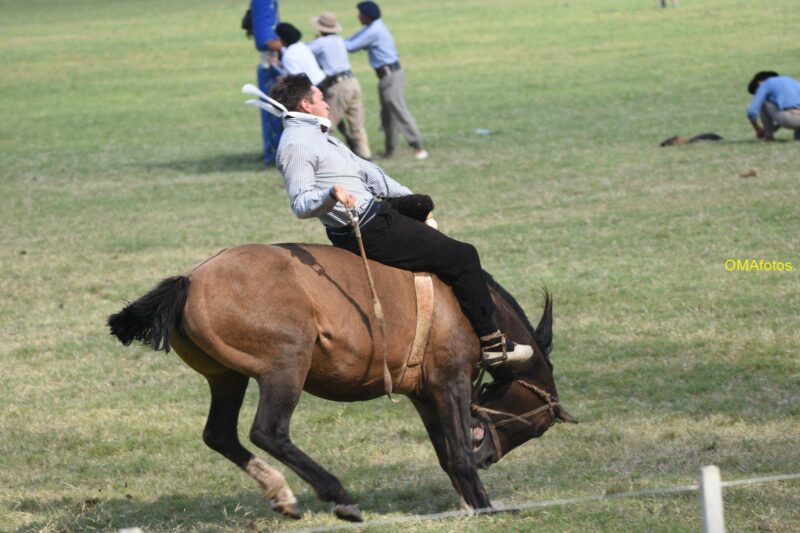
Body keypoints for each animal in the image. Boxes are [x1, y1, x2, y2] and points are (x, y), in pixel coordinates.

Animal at [107, 243, 576, 522]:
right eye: (536, 426)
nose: (490, 458)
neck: (462, 306)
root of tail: (191, 279)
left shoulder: (424, 394)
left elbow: (447, 452)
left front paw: (467, 502)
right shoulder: (450, 381)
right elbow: (458, 451)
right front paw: (483, 506)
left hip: (227, 377)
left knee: (219, 434)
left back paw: (283, 494)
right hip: (285, 368)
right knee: (268, 431)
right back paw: (338, 494)